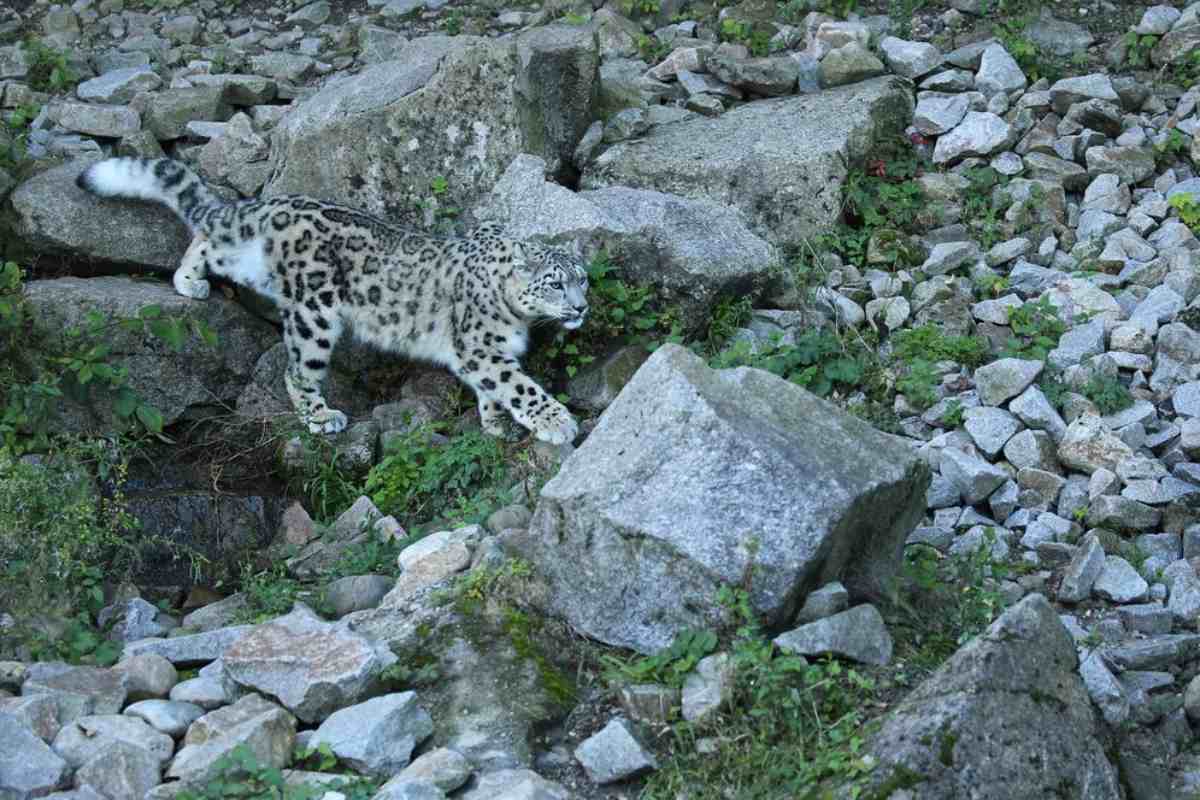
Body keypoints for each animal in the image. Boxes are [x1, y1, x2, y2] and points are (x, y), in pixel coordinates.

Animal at [76, 157, 589, 445]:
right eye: (554, 283)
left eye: (582, 279)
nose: (582, 307)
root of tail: (273, 204)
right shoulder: (481, 347)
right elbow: (516, 384)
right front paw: (556, 421)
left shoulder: (482, 354)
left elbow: (495, 388)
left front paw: (497, 423)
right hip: (314, 312)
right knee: (297, 368)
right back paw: (321, 417)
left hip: (246, 261)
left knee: (209, 235)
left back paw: (188, 280)